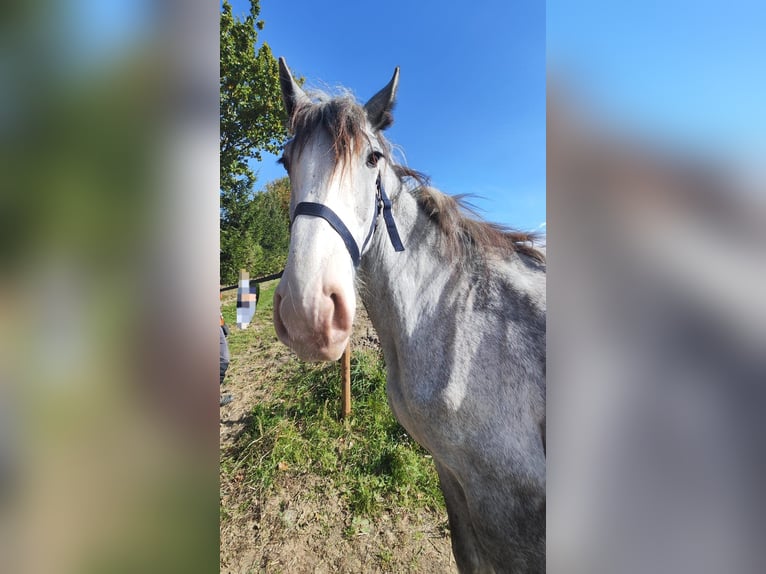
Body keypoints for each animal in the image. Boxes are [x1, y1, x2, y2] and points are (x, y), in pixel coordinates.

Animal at [273, 57, 546, 573]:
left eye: (372, 159)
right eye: (285, 161)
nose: (307, 311)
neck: (454, 317)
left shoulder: (510, 512)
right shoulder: (450, 472)